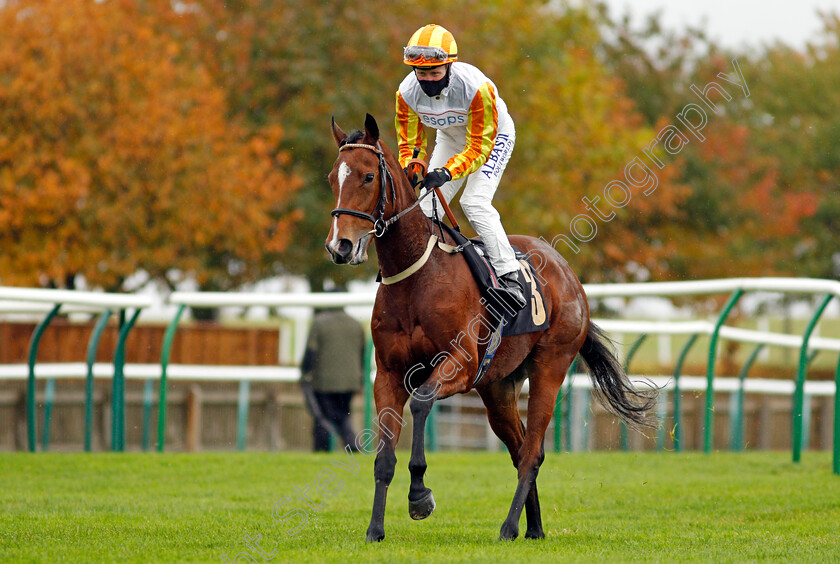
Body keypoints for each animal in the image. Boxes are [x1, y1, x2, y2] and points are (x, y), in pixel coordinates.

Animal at [322, 113, 656, 540]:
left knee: (532, 452)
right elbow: (383, 457)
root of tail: (568, 274)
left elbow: (423, 402)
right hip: (497, 387)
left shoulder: (461, 365)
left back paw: (509, 526)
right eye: (333, 178)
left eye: (367, 177)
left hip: (550, 367)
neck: (417, 276)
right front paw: (375, 530)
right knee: (519, 448)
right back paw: (533, 529)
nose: (341, 246)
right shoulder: (389, 373)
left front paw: (419, 495)